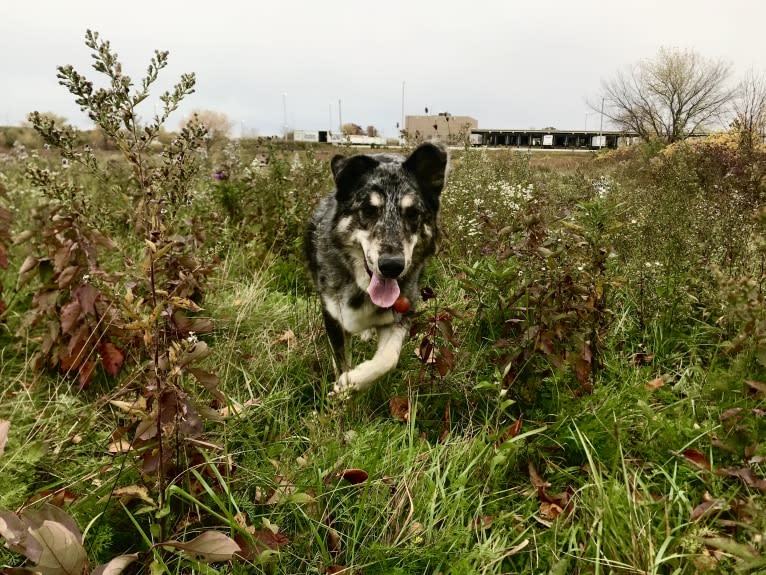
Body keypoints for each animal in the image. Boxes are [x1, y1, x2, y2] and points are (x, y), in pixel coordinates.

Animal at [306, 142, 450, 398]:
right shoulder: (333, 317)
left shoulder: (400, 315)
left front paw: (352, 381)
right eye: (369, 210)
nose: (392, 266)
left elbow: (387, 360)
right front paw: (343, 393)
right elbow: (341, 360)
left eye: (412, 213)